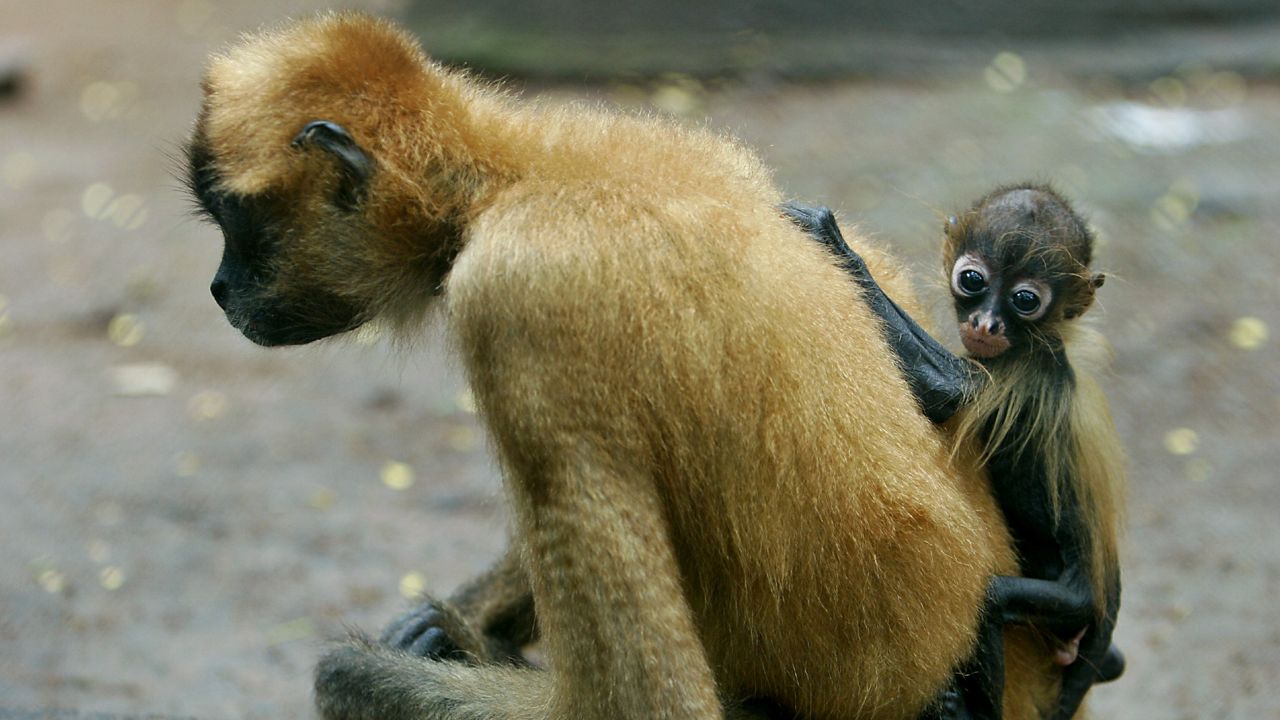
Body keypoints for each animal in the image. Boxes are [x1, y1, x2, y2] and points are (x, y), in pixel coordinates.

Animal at [783, 183, 1126, 717]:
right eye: (972, 280)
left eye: (1025, 300)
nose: (986, 324)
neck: (1042, 343)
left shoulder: (1023, 369)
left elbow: (947, 391)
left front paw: (830, 235)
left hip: (1072, 600)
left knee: (992, 604)